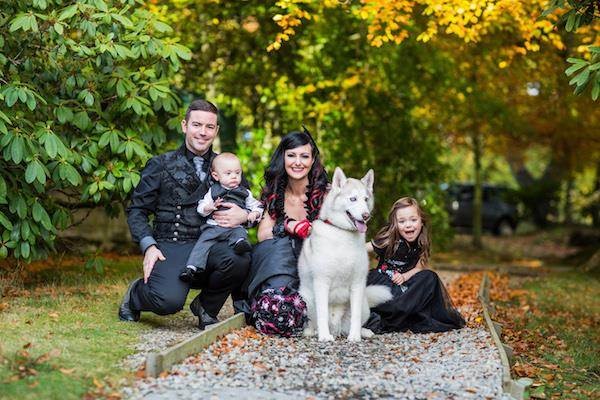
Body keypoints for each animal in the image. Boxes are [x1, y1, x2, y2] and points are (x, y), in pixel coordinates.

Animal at [298, 167, 392, 342]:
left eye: (366, 199)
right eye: (353, 199)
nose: (366, 215)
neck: (342, 234)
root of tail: (336, 328)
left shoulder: (357, 283)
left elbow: (355, 316)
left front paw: (354, 337)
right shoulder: (321, 282)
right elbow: (322, 314)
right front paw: (324, 336)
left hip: (363, 304)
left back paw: (362, 332)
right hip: (306, 299)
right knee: (315, 322)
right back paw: (314, 332)